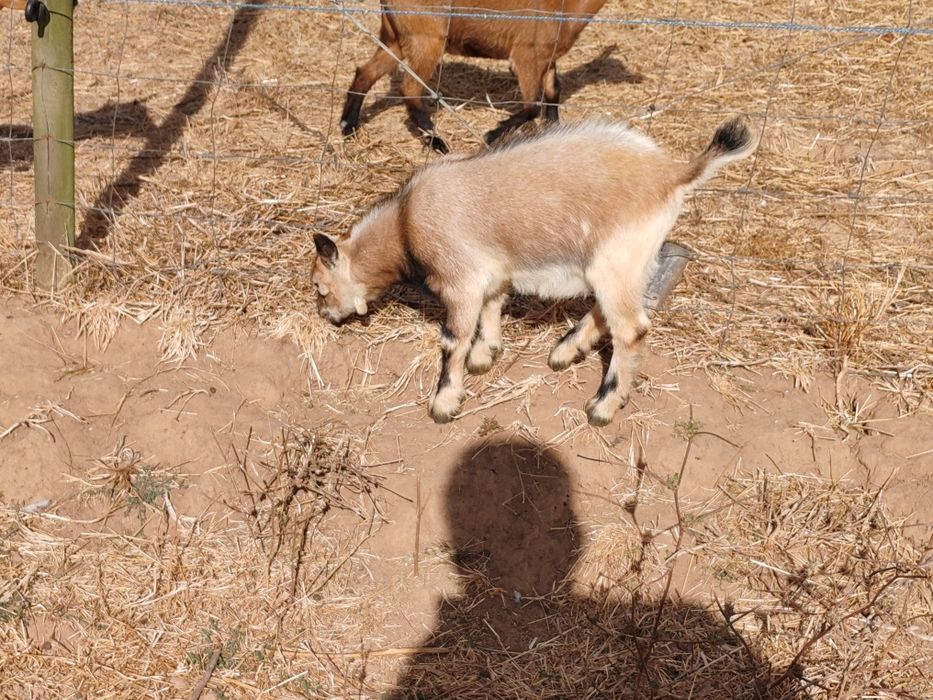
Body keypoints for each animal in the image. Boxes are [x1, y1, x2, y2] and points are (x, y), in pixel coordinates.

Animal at [312, 118, 756, 425]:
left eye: (320, 287)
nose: (326, 316)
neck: (405, 222)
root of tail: (670, 173)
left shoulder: (459, 280)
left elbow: (452, 341)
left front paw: (443, 402)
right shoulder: (491, 272)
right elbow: (493, 306)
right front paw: (486, 354)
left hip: (615, 260)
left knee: (631, 328)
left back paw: (604, 405)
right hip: (627, 262)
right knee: (609, 311)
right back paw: (566, 350)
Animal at [340, 0, 611, 153]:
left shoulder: (547, 59)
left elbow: (553, 92)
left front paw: (554, 131)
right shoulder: (526, 56)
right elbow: (532, 105)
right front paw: (491, 134)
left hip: (395, 38)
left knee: (366, 72)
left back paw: (347, 126)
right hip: (427, 39)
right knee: (410, 88)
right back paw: (437, 143)